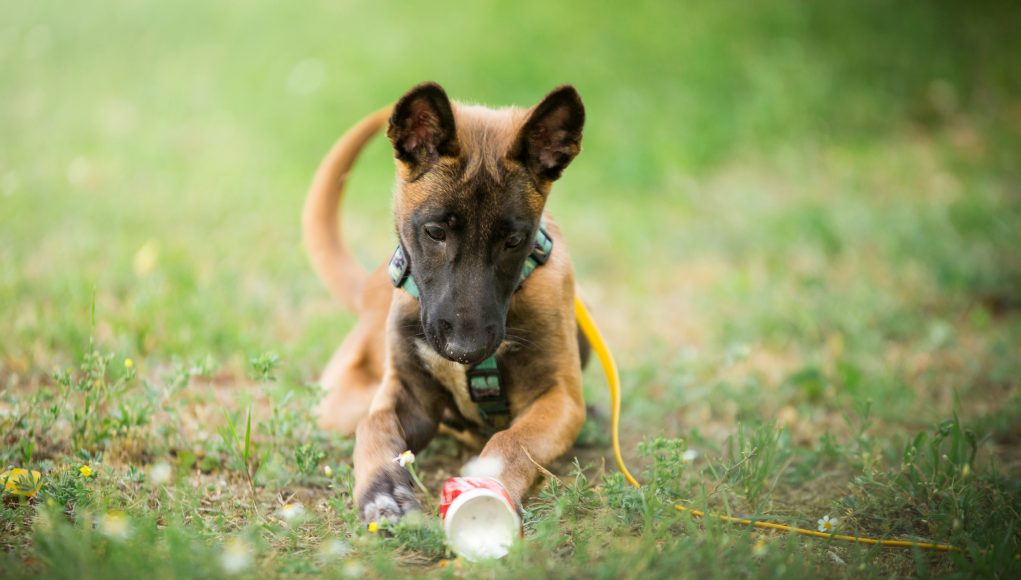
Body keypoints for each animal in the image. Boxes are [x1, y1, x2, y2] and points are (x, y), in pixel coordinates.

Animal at [302, 82, 588, 526]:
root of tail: (369, 290)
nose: (465, 350)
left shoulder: (562, 399)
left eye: (513, 241)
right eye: (435, 232)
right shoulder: (408, 394)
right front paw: (382, 489)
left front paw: (489, 484)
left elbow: (513, 440)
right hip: (341, 405)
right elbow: (376, 427)